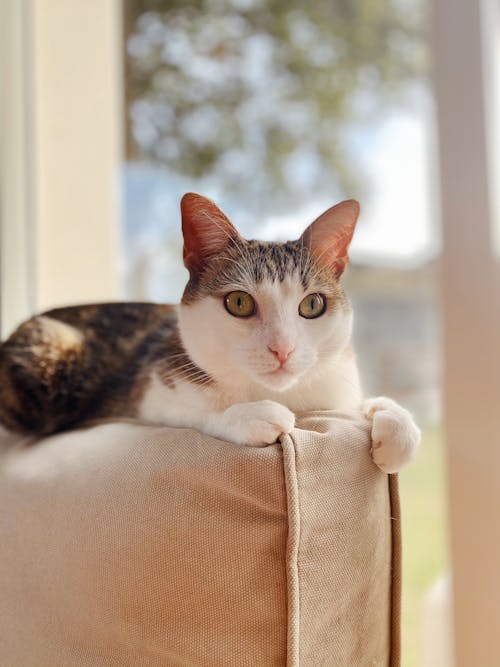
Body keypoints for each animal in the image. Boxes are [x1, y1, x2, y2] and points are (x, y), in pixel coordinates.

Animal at [0, 196, 418, 472]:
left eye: (312, 305)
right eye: (239, 302)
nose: (282, 348)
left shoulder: (336, 388)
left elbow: (364, 405)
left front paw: (396, 423)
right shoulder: (146, 390)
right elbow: (191, 412)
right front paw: (247, 415)